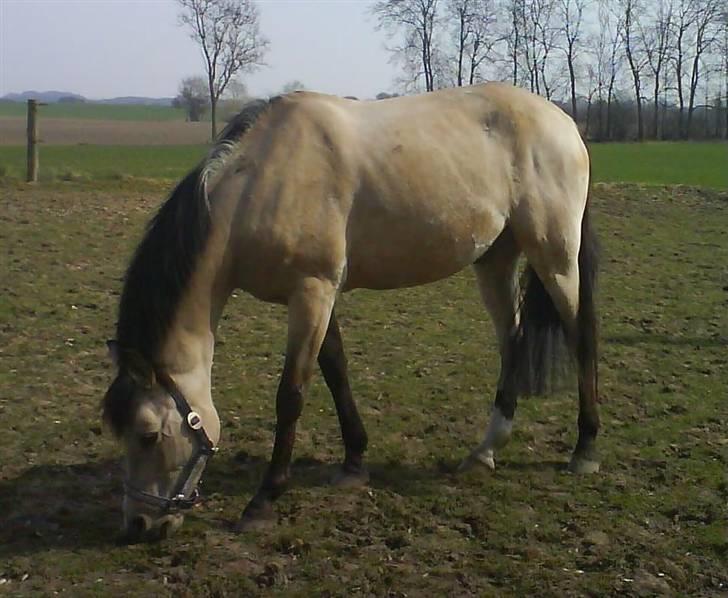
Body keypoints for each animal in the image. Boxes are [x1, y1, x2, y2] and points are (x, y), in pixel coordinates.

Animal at [104, 82, 604, 548]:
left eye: (148, 434)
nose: (137, 524)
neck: (262, 181)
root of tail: (564, 122)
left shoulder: (312, 290)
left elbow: (291, 396)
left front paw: (264, 500)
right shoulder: (318, 294)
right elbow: (336, 371)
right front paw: (353, 463)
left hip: (555, 256)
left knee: (581, 336)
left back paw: (584, 448)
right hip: (496, 259)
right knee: (512, 339)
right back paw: (485, 451)